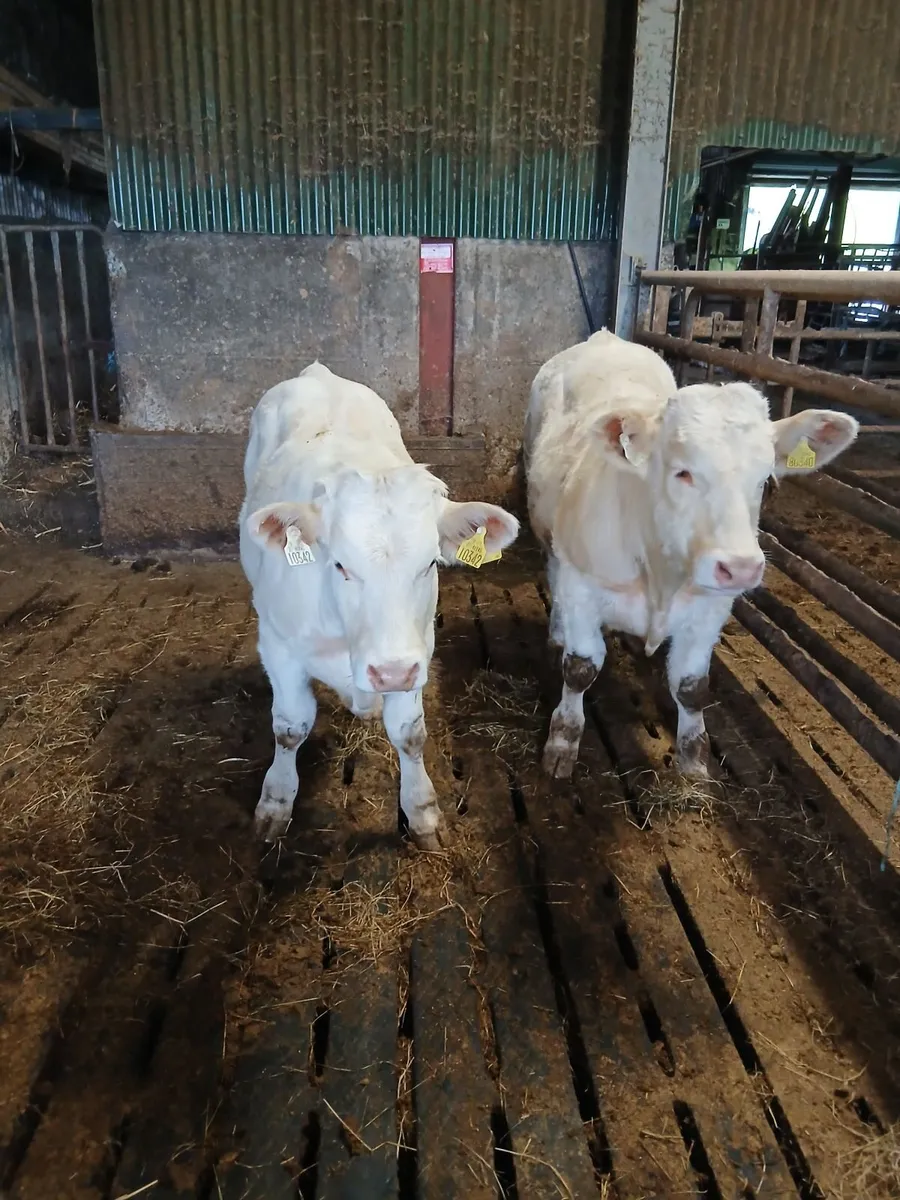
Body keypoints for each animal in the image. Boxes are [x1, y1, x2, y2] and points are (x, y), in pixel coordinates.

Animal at [239, 362, 520, 849]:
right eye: (339, 564)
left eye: (431, 563)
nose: (390, 674)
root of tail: (318, 372)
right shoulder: (277, 645)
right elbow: (289, 728)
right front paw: (275, 801)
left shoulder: (416, 647)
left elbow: (409, 734)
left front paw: (422, 811)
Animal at [524, 329, 859, 781]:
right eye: (682, 472)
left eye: (767, 481)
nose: (741, 568)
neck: (661, 573)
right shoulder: (581, 583)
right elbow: (580, 668)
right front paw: (563, 740)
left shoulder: (711, 607)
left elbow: (691, 686)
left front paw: (694, 758)